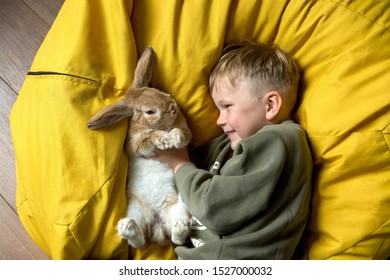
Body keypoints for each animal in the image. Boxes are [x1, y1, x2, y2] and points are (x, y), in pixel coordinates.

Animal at [86, 46, 191, 249]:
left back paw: (180, 227)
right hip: (136, 207)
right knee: (139, 241)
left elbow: (184, 135)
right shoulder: (133, 144)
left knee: (176, 237)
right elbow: (146, 139)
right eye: (149, 111)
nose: (173, 107)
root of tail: (157, 222)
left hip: (178, 207)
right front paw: (164, 139)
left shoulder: (185, 128)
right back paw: (128, 228)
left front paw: (174, 137)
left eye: (157, 90)